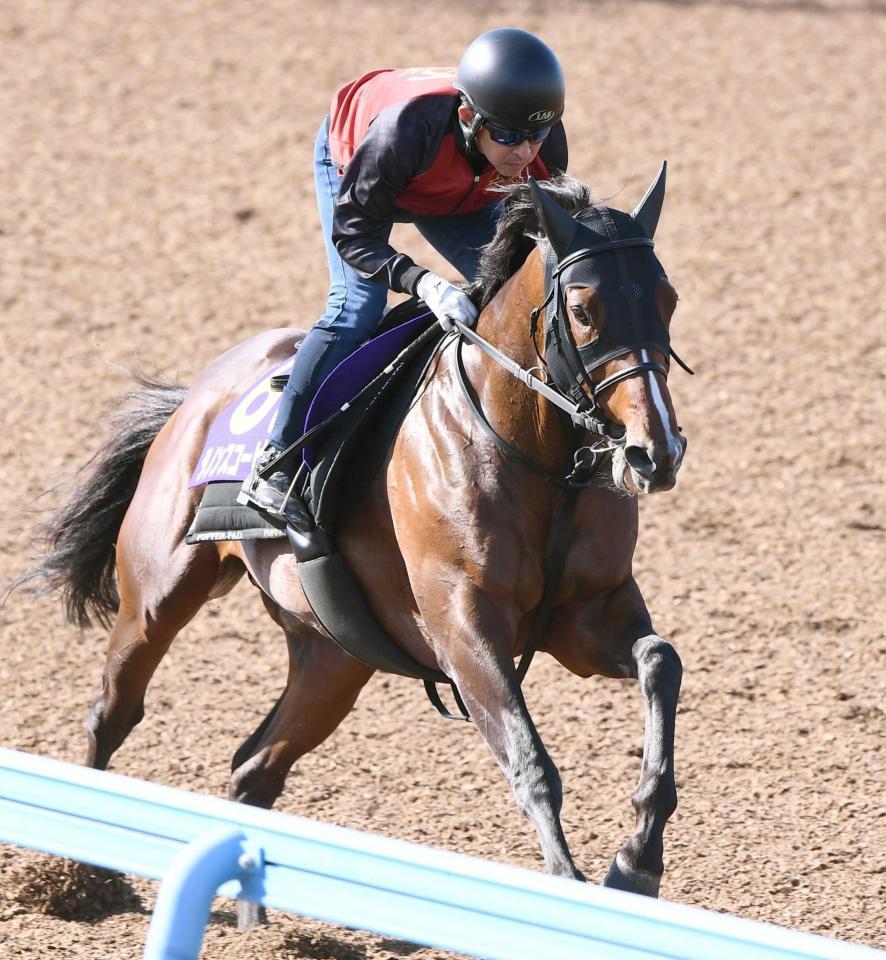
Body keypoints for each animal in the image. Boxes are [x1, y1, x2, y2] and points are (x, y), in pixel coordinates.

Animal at [15, 169, 692, 896]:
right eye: (586, 309)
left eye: (668, 299)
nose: (655, 452)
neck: (532, 455)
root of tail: (195, 396)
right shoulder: (465, 630)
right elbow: (530, 761)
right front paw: (571, 885)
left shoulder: (586, 617)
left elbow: (661, 662)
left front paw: (636, 862)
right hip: (157, 595)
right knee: (113, 711)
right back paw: (79, 872)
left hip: (335, 656)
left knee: (255, 767)